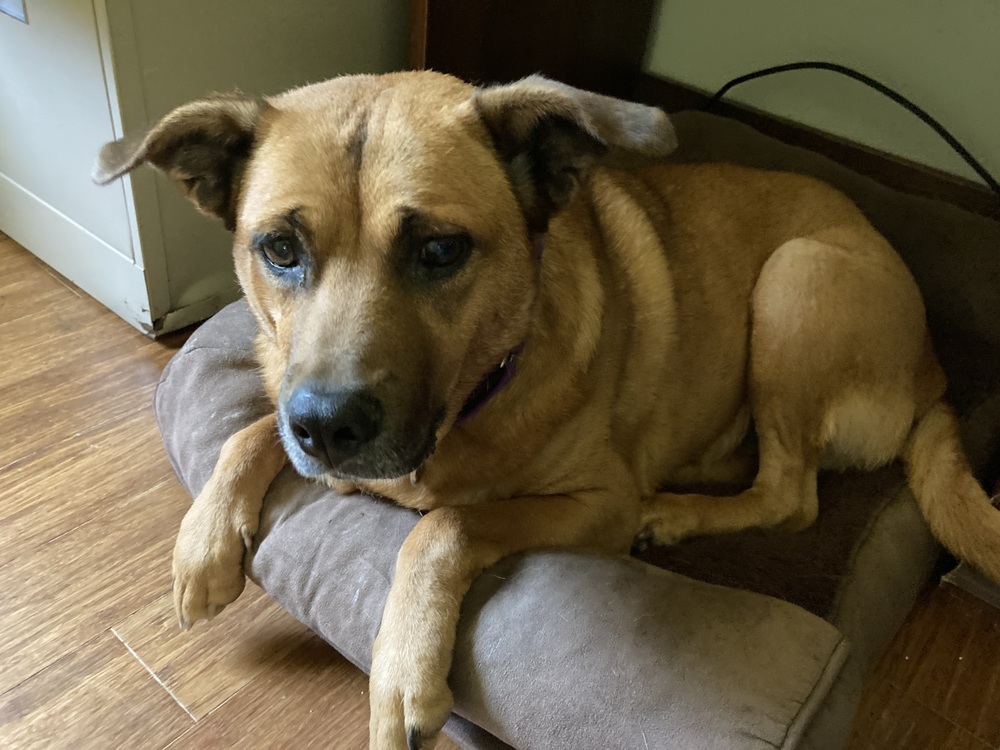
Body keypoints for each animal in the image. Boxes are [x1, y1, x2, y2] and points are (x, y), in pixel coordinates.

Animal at [95, 72, 1000, 750]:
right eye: (279, 249)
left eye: (439, 251)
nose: (327, 428)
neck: (473, 399)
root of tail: (936, 373)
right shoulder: (294, 414)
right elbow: (250, 431)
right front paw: (203, 545)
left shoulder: (595, 503)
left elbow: (445, 525)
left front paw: (402, 672)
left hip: (796, 278)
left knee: (792, 496)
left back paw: (678, 511)